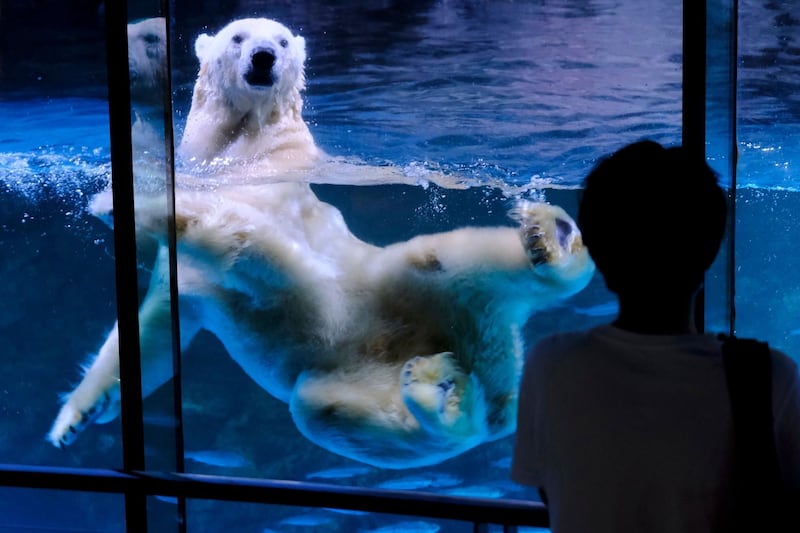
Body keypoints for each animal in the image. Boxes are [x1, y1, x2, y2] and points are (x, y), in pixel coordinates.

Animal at [43, 16, 592, 468]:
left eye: (283, 40)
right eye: (238, 37)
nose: (264, 56)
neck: (244, 152)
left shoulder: (279, 194)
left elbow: (243, 239)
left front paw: (124, 203)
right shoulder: (186, 280)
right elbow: (154, 332)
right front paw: (73, 419)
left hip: (398, 280)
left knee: (444, 258)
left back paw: (551, 240)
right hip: (364, 373)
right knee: (332, 412)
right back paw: (441, 391)